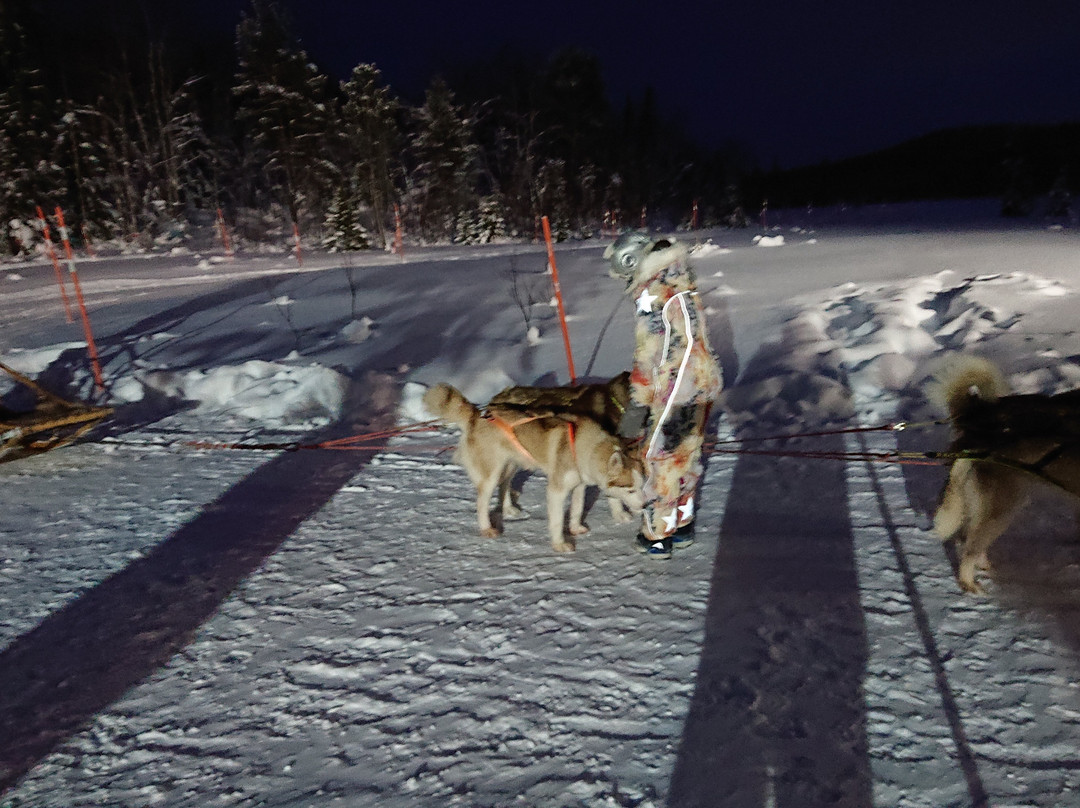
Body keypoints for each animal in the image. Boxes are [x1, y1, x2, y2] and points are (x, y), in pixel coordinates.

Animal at [421, 382, 639, 553]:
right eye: (630, 489)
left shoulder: (579, 484)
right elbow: (558, 519)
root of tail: (479, 415)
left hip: (511, 464)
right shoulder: (557, 490)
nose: (644, 506)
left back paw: (509, 508)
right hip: (492, 473)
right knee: (482, 502)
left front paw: (576, 528)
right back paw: (487, 528)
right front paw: (560, 544)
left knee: (505, 485)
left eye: (642, 486)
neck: (583, 443)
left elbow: (577, 509)